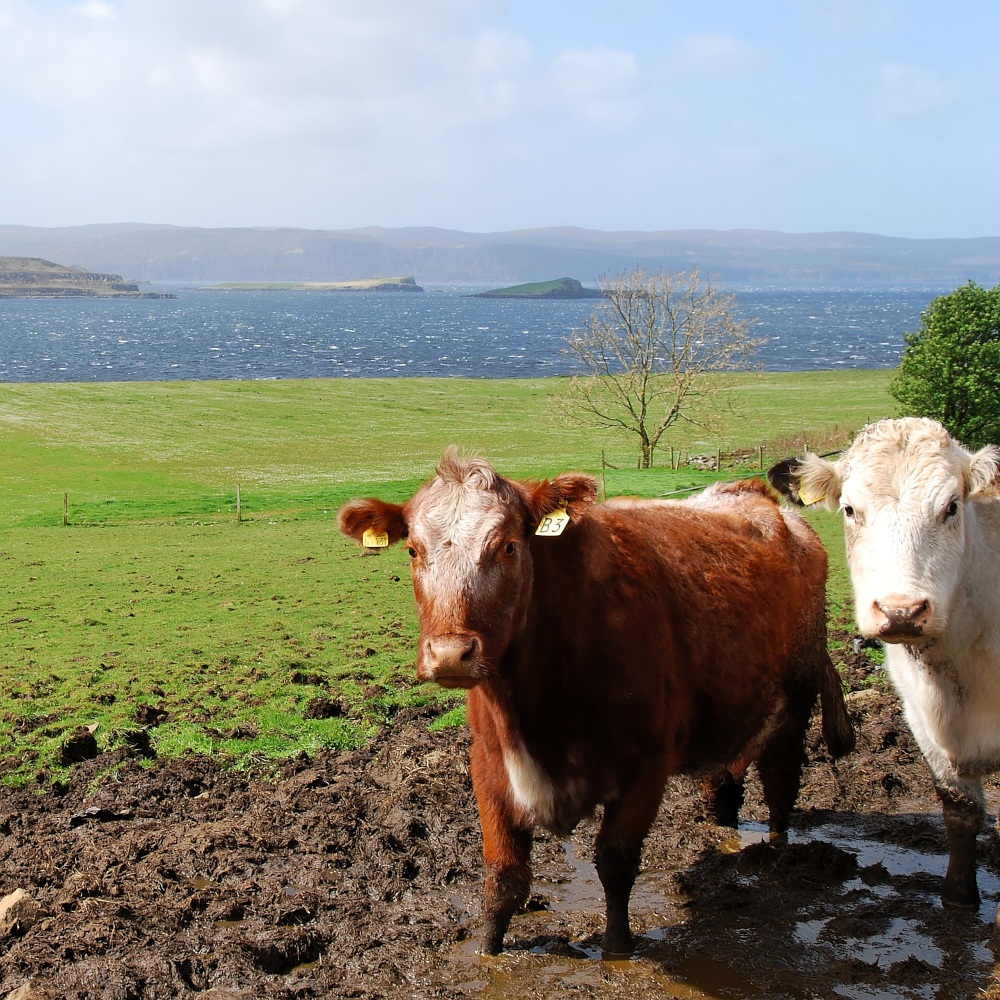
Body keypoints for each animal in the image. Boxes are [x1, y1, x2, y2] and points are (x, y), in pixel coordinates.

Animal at [338, 452, 852, 952]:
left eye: (508, 546)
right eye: (412, 550)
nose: (449, 654)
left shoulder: (646, 767)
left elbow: (616, 863)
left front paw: (618, 948)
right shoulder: (488, 765)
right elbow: (504, 877)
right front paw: (488, 950)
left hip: (795, 704)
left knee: (781, 787)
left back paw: (778, 857)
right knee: (724, 783)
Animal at [772, 418, 1000, 912]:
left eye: (952, 507)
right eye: (850, 509)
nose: (901, 611)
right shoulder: (923, 719)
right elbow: (959, 810)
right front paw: (958, 899)